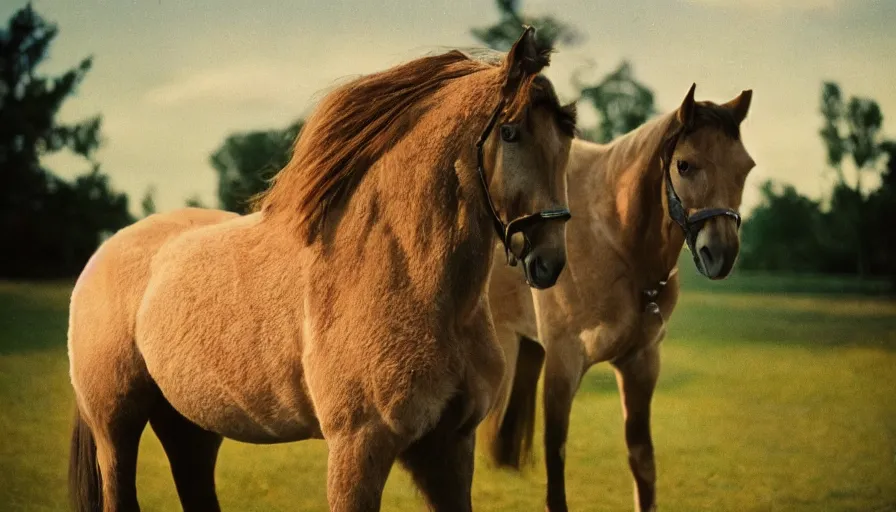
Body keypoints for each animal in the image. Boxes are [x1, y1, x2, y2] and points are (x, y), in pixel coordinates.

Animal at [68, 29, 576, 512]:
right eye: (509, 132)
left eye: (565, 136)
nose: (548, 261)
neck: (406, 277)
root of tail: (104, 252)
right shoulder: (358, 448)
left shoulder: (448, 446)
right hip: (115, 428)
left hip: (191, 426)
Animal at [480, 85, 752, 512]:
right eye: (685, 165)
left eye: (745, 168)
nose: (720, 254)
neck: (613, 237)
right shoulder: (564, 360)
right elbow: (556, 457)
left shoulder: (640, 363)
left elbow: (643, 461)